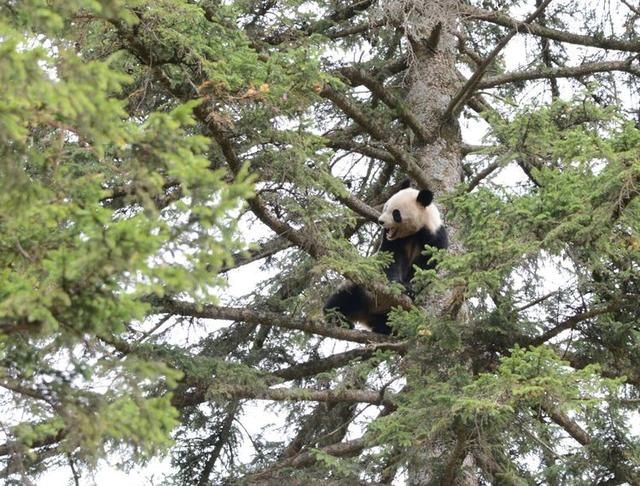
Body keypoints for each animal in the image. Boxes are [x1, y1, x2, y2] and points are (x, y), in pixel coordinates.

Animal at [322, 180, 448, 336]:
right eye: (386, 206)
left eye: (396, 213)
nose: (380, 221)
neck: (416, 233)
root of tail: (364, 315)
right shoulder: (392, 241)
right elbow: (391, 260)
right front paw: (400, 286)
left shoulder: (435, 238)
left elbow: (425, 268)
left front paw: (411, 289)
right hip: (362, 286)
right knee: (344, 296)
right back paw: (337, 318)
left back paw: (385, 328)